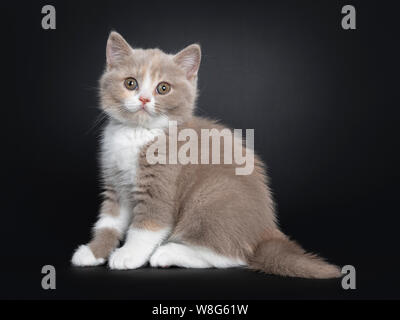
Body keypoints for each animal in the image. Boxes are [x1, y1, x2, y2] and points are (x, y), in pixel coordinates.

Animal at [72, 31, 340, 278]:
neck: (137, 133)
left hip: (212, 195)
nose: (145, 99)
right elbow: (108, 222)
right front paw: (93, 251)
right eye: (130, 83)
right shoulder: (115, 183)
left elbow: (147, 226)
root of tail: (266, 231)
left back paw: (168, 253)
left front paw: (128, 255)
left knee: (232, 256)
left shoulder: (161, 183)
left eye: (163, 88)